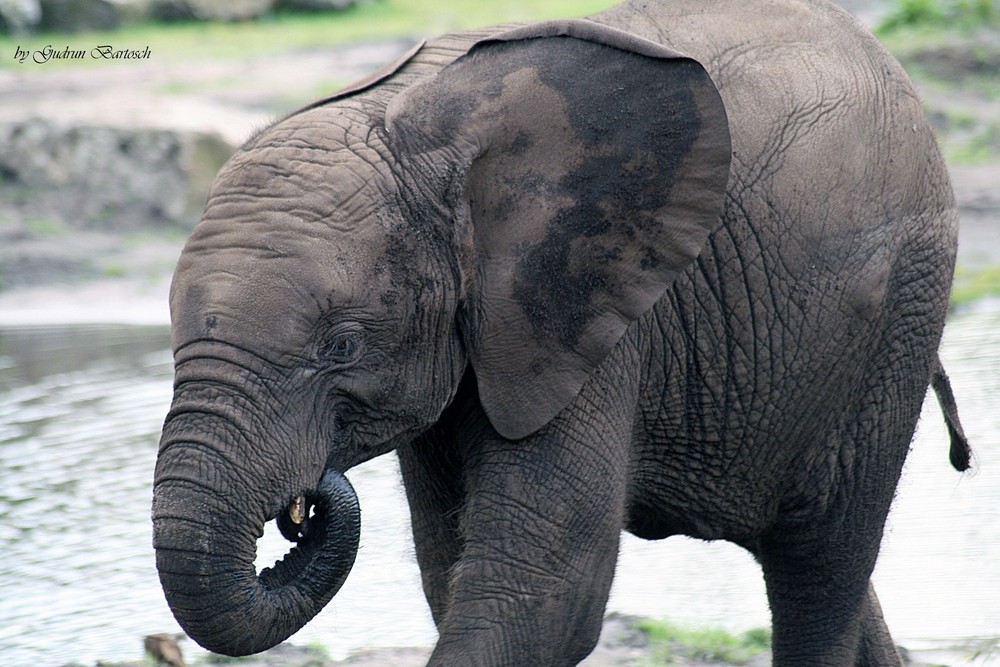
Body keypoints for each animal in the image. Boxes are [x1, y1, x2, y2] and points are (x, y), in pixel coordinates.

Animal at [152, 0, 972, 664]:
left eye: (341, 347)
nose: (308, 496)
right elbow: (451, 567)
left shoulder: (585, 313)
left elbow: (542, 591)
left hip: (901, 305)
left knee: (819, 561)